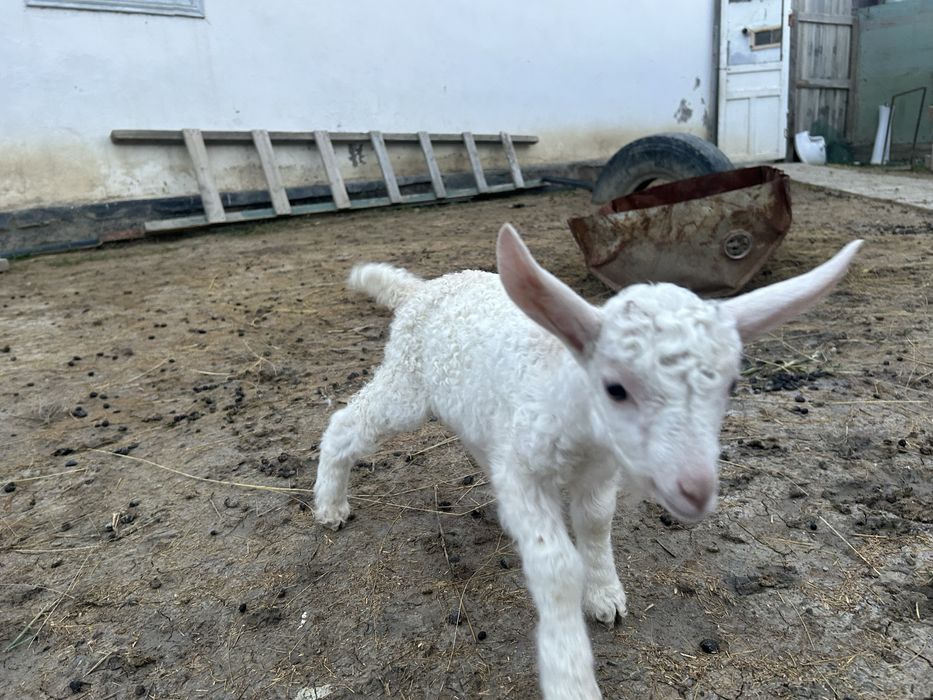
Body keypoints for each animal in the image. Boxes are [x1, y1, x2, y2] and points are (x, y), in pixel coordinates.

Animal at [314, 224, 862, 699]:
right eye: (615, 388)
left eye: (731, 386)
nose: (696, 490)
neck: (576, 416)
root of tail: (422, 290)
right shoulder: (525, 471)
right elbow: (555, 566)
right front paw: (570, 676)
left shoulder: (599, 471)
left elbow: (596, 524)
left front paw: (604, 595)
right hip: (407, 384)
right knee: (348, 421)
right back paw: (330, 504)